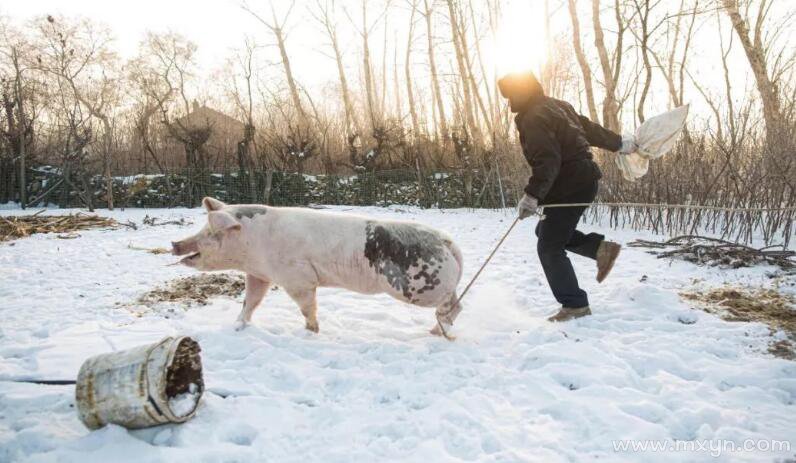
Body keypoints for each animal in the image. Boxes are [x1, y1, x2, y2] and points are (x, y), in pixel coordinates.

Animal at [171, 198, 464, 338]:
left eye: (211, 232)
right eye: (204, 228)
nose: (175, 243)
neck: (252, 244)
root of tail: (447, 241)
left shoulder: (297, 278)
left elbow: (307, 307)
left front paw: (310, 332)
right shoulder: (258, 274)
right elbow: (250, 303)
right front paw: (237, 327)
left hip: (420, 285)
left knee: (452, 306)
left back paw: (437, 332)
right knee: (456, 304)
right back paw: (436, 331)